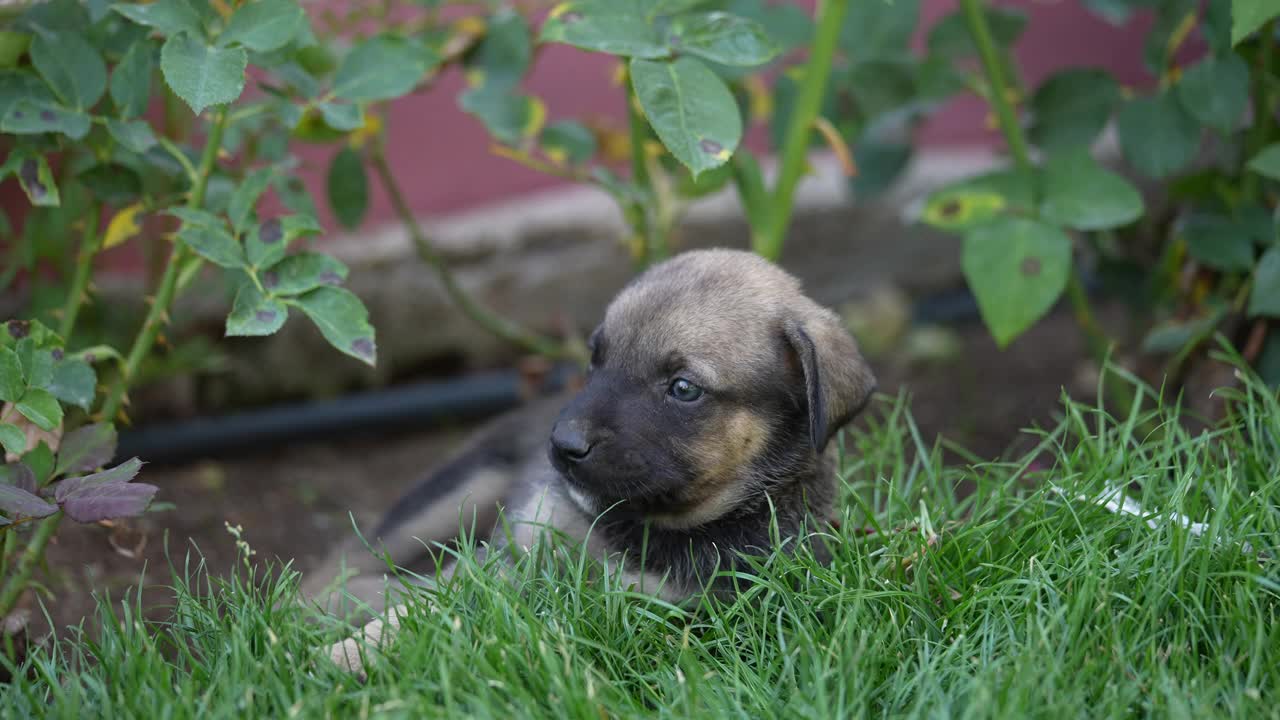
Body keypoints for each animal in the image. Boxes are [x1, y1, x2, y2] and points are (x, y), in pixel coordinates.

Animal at [304, 248, 875, 671]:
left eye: (683, 388)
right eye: (596, 358)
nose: (562, 445)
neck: (647, 529)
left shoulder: (673, 607)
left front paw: (351, 648)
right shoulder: (513, 553)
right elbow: (429, 597)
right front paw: (351, 648)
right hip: (453, 492)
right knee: (354, 563)